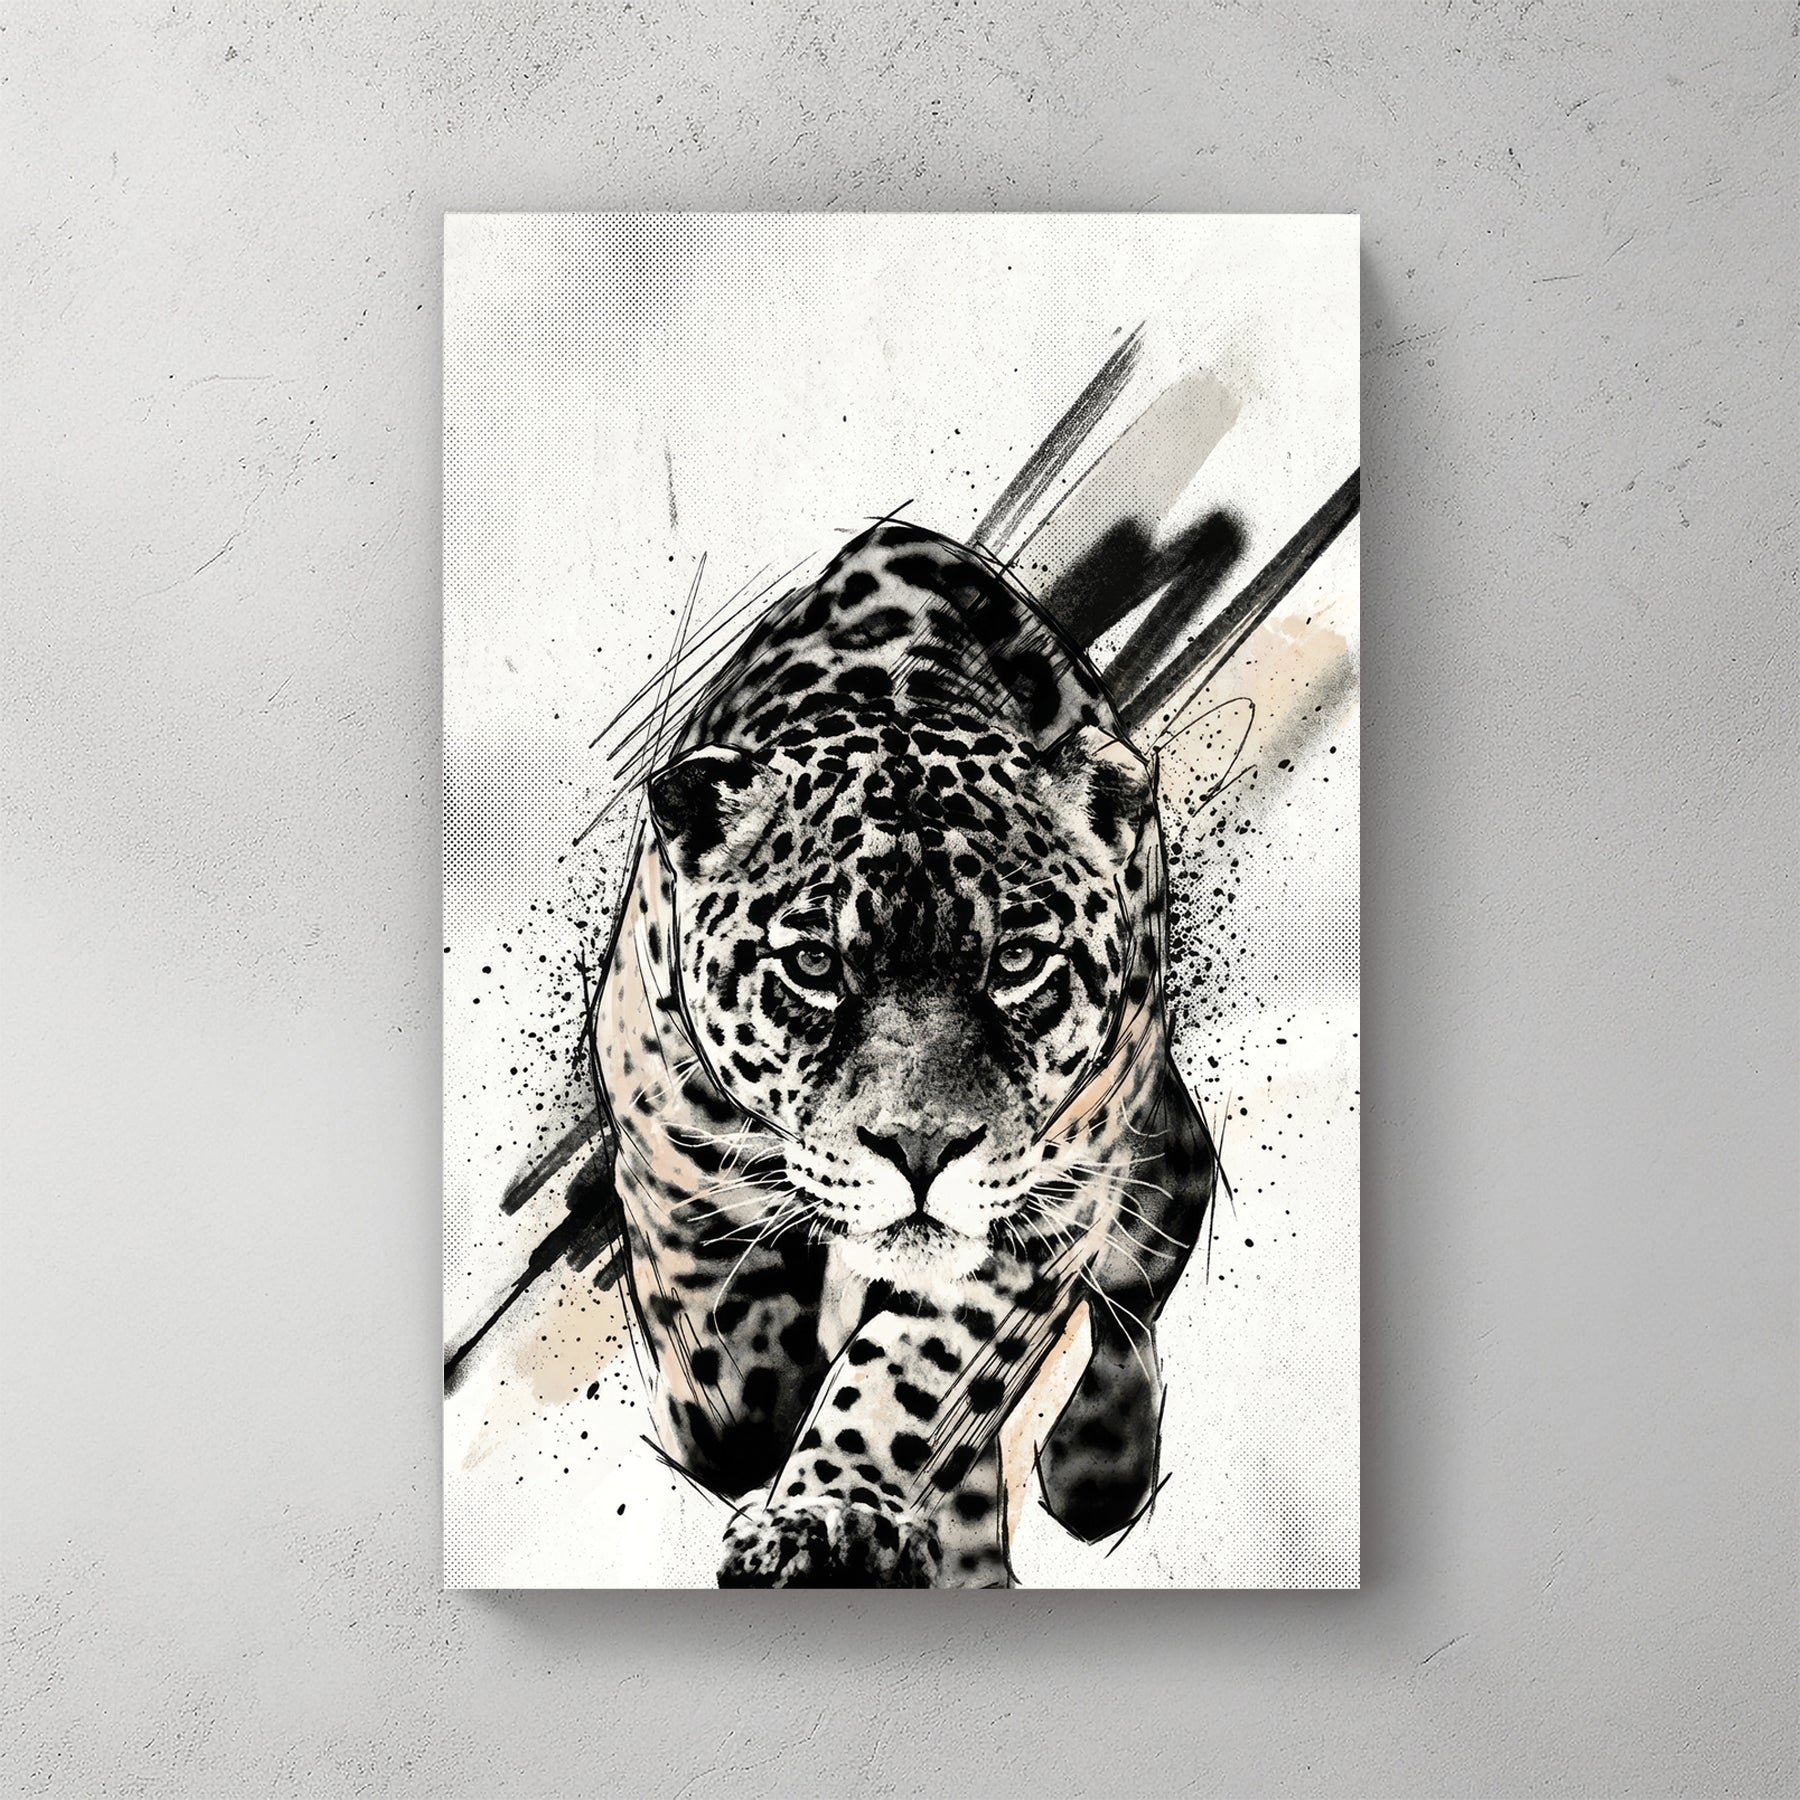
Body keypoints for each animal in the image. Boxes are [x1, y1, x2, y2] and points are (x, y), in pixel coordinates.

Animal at [590, 518, 1217, 1587]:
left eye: (1017, 961)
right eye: (812, 964)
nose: (921, 1152)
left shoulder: (1036, 1220)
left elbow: (905, 1377)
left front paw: (824, 1516)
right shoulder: (664, 1147)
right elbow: (728, 1388)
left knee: (1156, 1235)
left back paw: (1097, 1465)